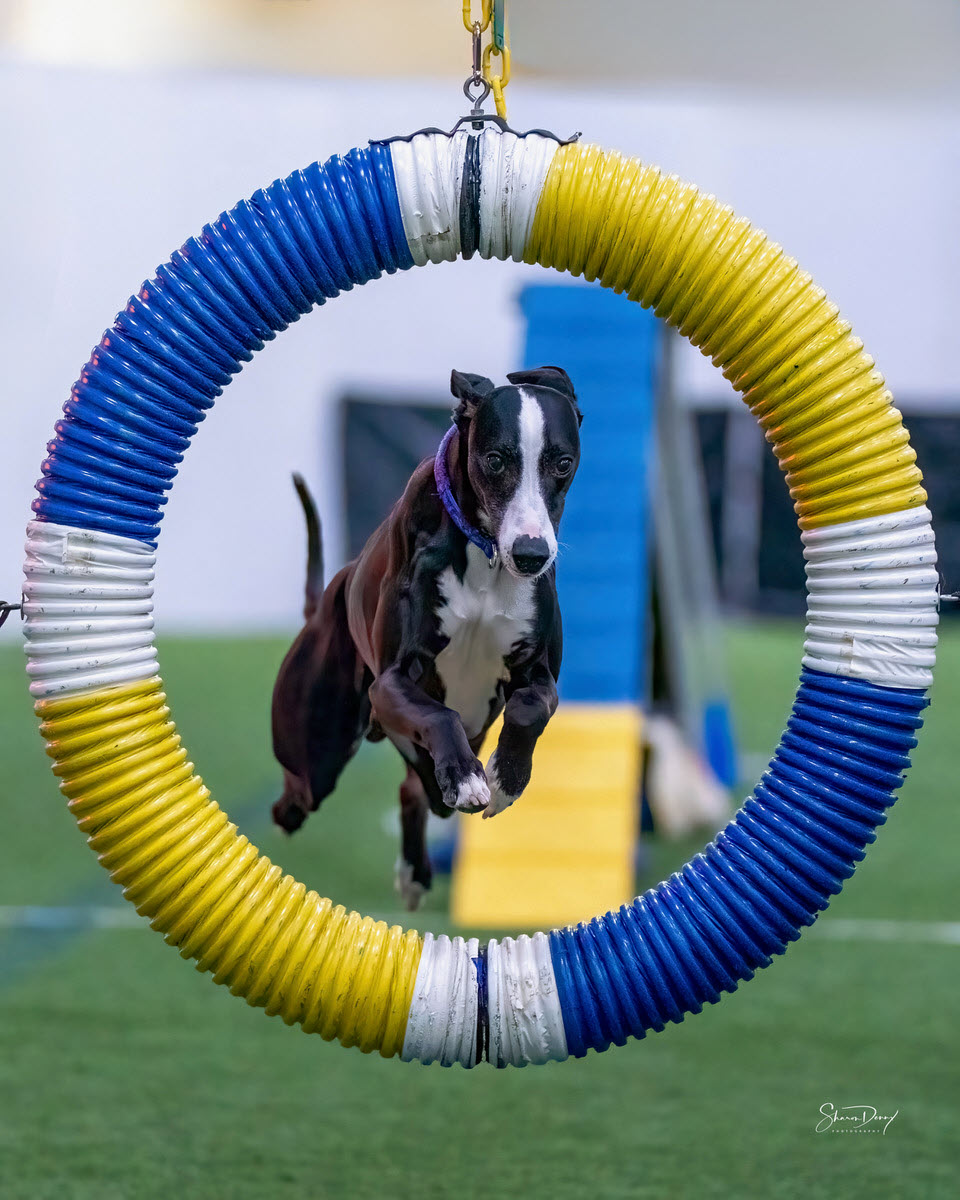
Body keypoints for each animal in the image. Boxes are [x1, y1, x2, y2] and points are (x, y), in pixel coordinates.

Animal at [273, 364, 580, 907]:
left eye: (562, 463)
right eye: (494, 460)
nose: (530, 555)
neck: (484, 552)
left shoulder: (539, 674)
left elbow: (530, 707)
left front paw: (505, 780)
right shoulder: (392, 683)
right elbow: (439, 715)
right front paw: (466, 778)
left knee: (414, 790)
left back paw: (415, 869)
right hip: (315, 753)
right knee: (293, 801)